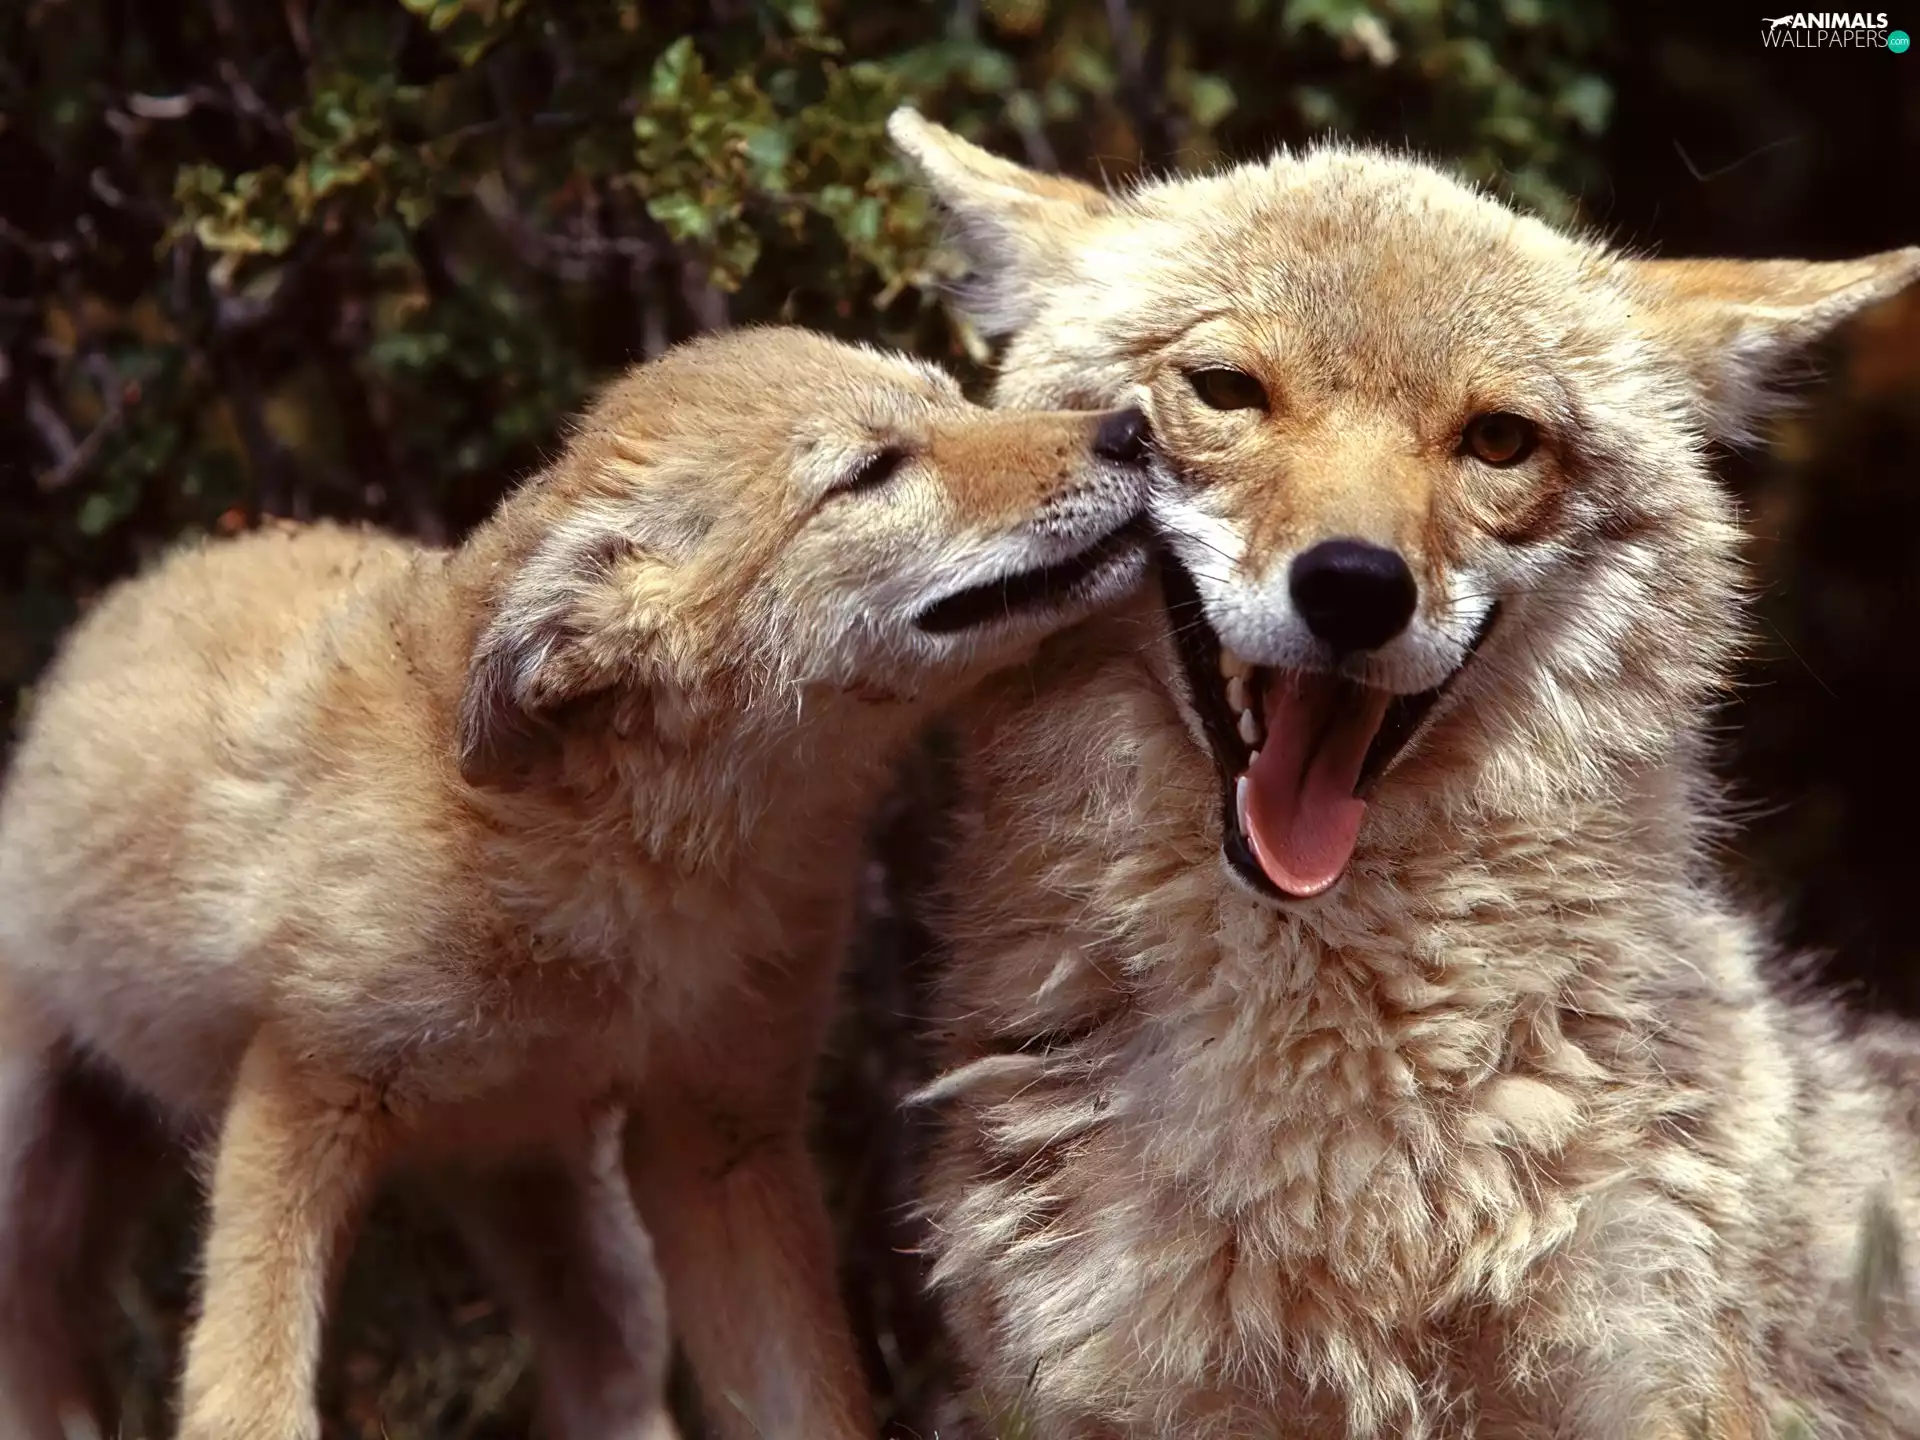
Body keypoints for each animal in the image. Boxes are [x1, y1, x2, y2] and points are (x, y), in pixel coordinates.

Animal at [0, 326, 1156, 1440]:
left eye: (955, 400)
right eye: (871, 471)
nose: (1132, 428)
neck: (613, 875)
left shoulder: (719, 1138)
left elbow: (809, 1406)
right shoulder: (299, 1096)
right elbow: (249, 1398)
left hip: (576, 1229)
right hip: (33, 1180)